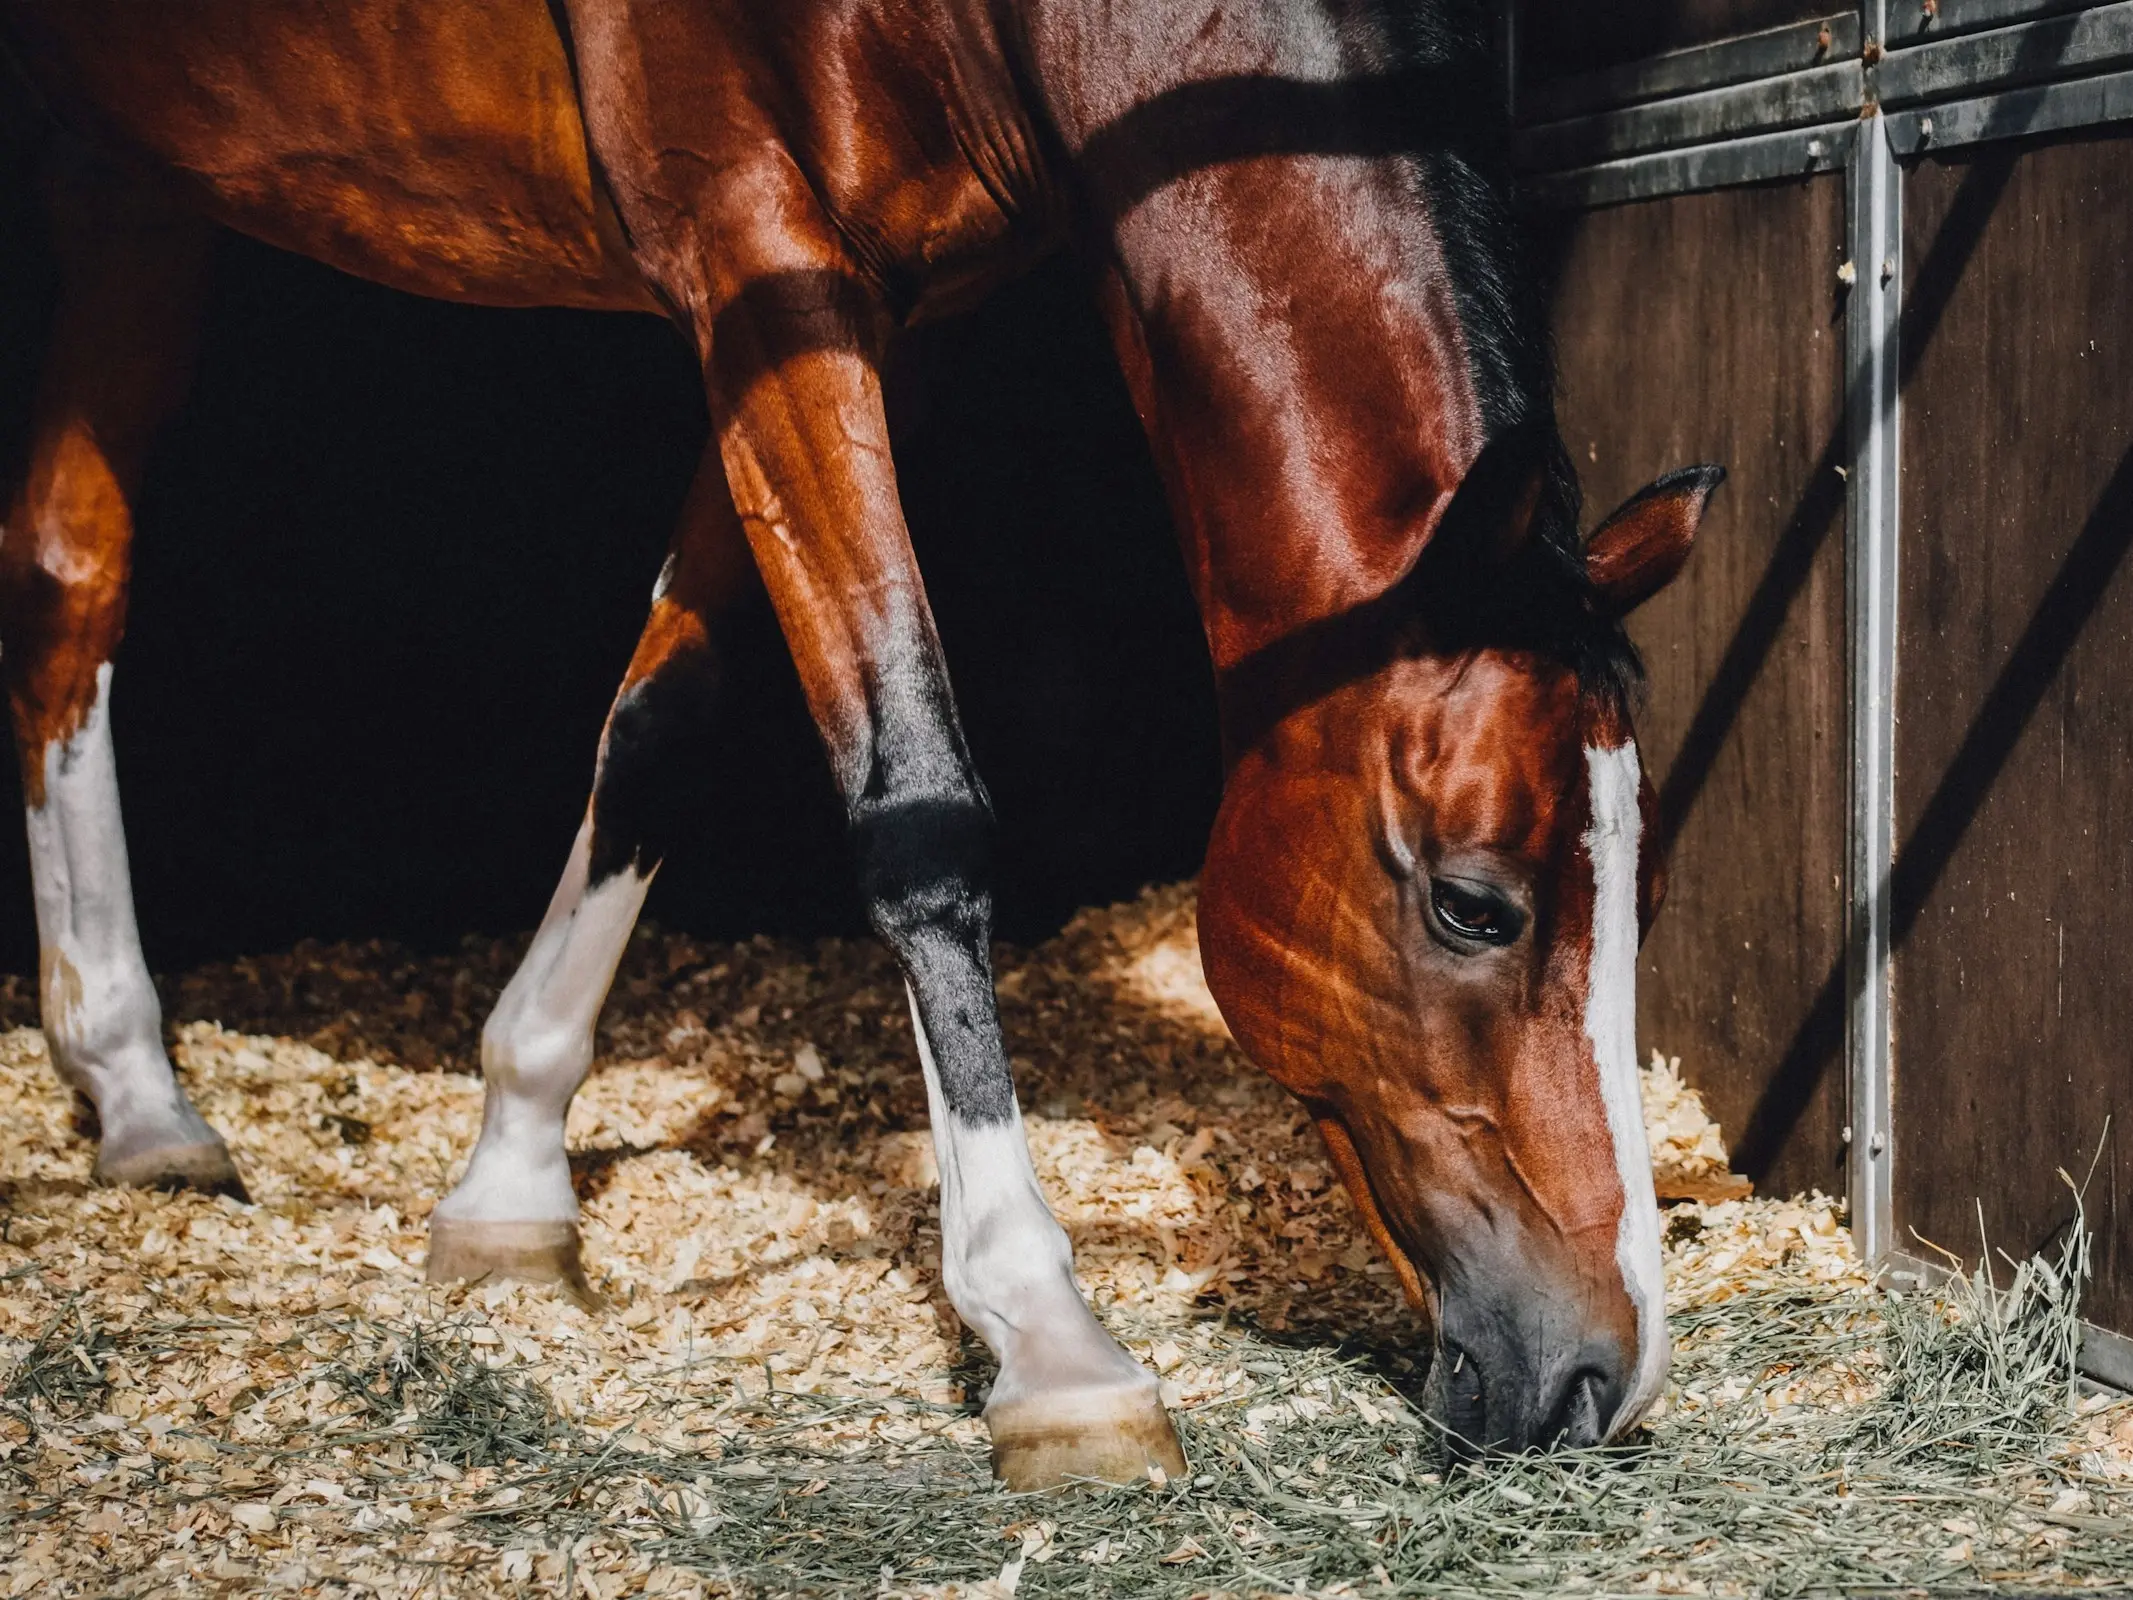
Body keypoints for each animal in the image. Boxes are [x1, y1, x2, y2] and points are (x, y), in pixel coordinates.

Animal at [0, 0, 1723, 1493]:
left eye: (1641, 898)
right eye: (1474, 903)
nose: (1606, 1374)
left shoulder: (835, 309)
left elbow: (663, 725)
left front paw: (512, 1175)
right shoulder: (760, 255)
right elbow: (918, 802)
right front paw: (1049, 1341)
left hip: (117, 177)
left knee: (67, 579)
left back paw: (133, 1091)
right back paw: (133, 1074)